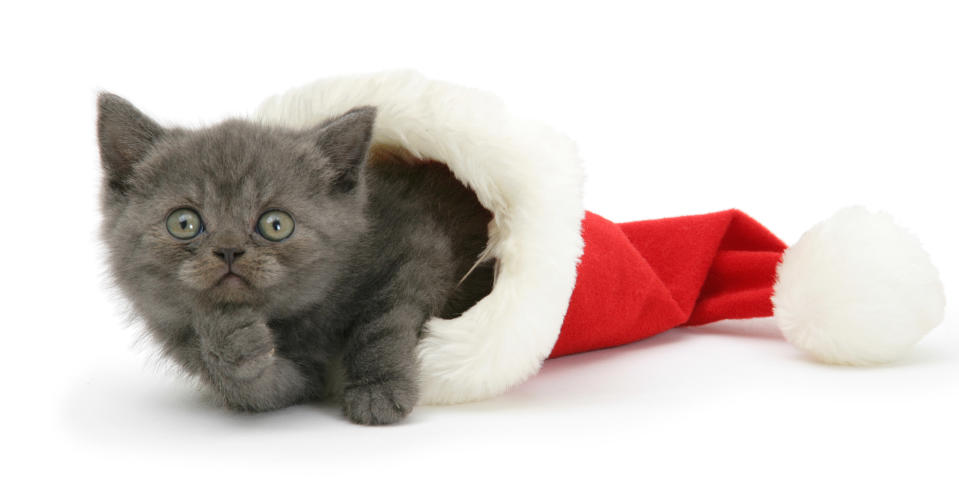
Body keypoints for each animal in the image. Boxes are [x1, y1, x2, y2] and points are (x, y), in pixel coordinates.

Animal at [98, 94, 496, 426]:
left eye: (276, 224)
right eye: (184, 223)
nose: (229, 249)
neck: (301, 321)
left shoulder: (418, 247)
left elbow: (382, 322)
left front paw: (379, 389)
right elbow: (261, 390)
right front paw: (232, 339)